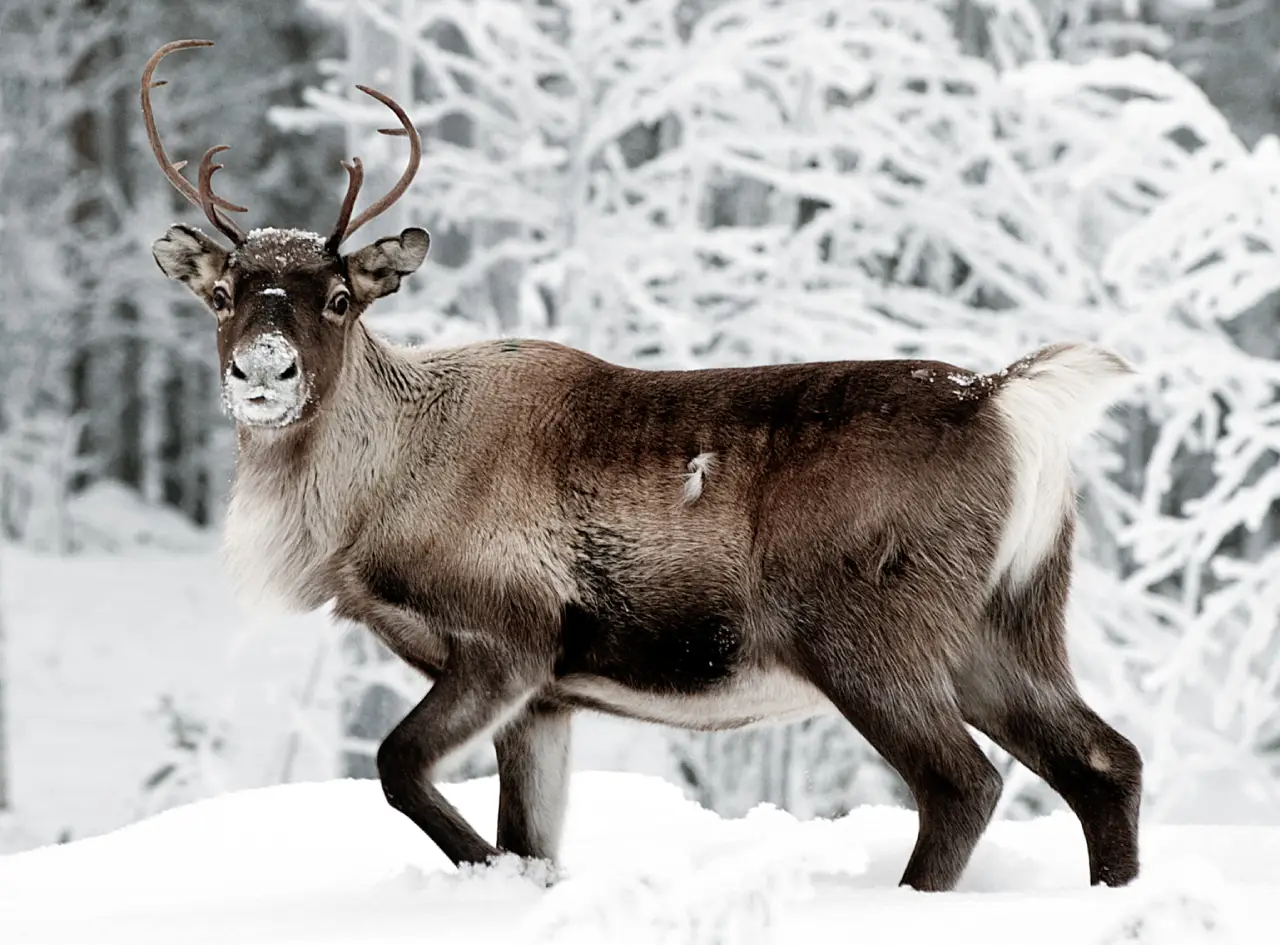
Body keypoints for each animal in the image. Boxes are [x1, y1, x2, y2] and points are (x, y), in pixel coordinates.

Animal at [142, 38, 1143, 893]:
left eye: (342, 299)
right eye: (222, 295)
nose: (264, 371)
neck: (367, 508)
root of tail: (1005, 402)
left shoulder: (509, 637)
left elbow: (401, 771)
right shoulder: (547, 696)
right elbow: (529, 835)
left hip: (870, 631)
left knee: (965, 784)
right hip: (1006, 623)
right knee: (1106, 761)